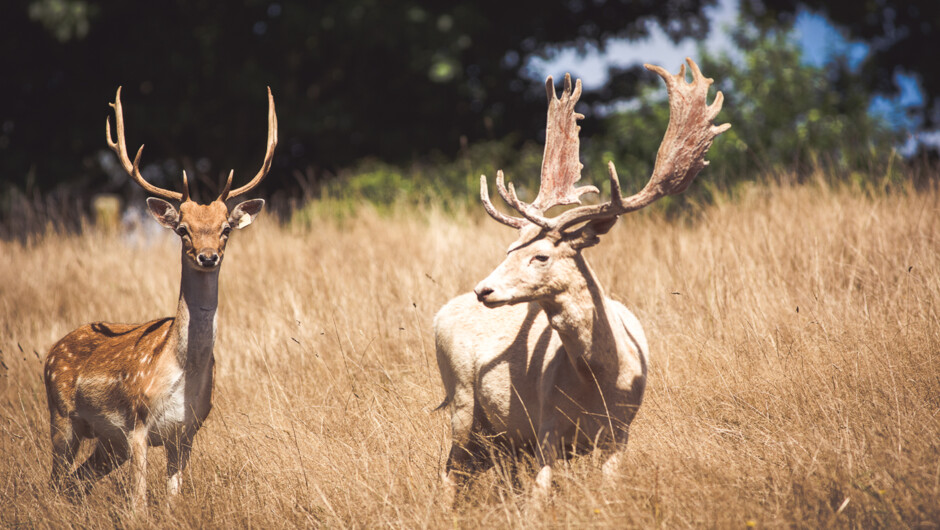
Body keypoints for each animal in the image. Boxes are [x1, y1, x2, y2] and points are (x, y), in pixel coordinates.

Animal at [43, 85, 278, 508]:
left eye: (225, 229)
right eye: (183, 229)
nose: (208, 256)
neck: (182, 375)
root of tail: (53, 349)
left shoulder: (185, 434)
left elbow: (172, 501)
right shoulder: (137, 425)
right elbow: (138, 507)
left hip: (108, 445)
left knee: (77, 480)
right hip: (62, 416)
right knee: (56, 479)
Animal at [436, 57, 736, 500]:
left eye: (540, 255)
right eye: (510, 249)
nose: (483, 290)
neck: (599, 383)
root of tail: (438, 315)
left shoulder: (620, 434)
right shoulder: (545, 427)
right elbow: (539, 496)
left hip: (503, 437)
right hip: (461, 400)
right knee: (449, 471)